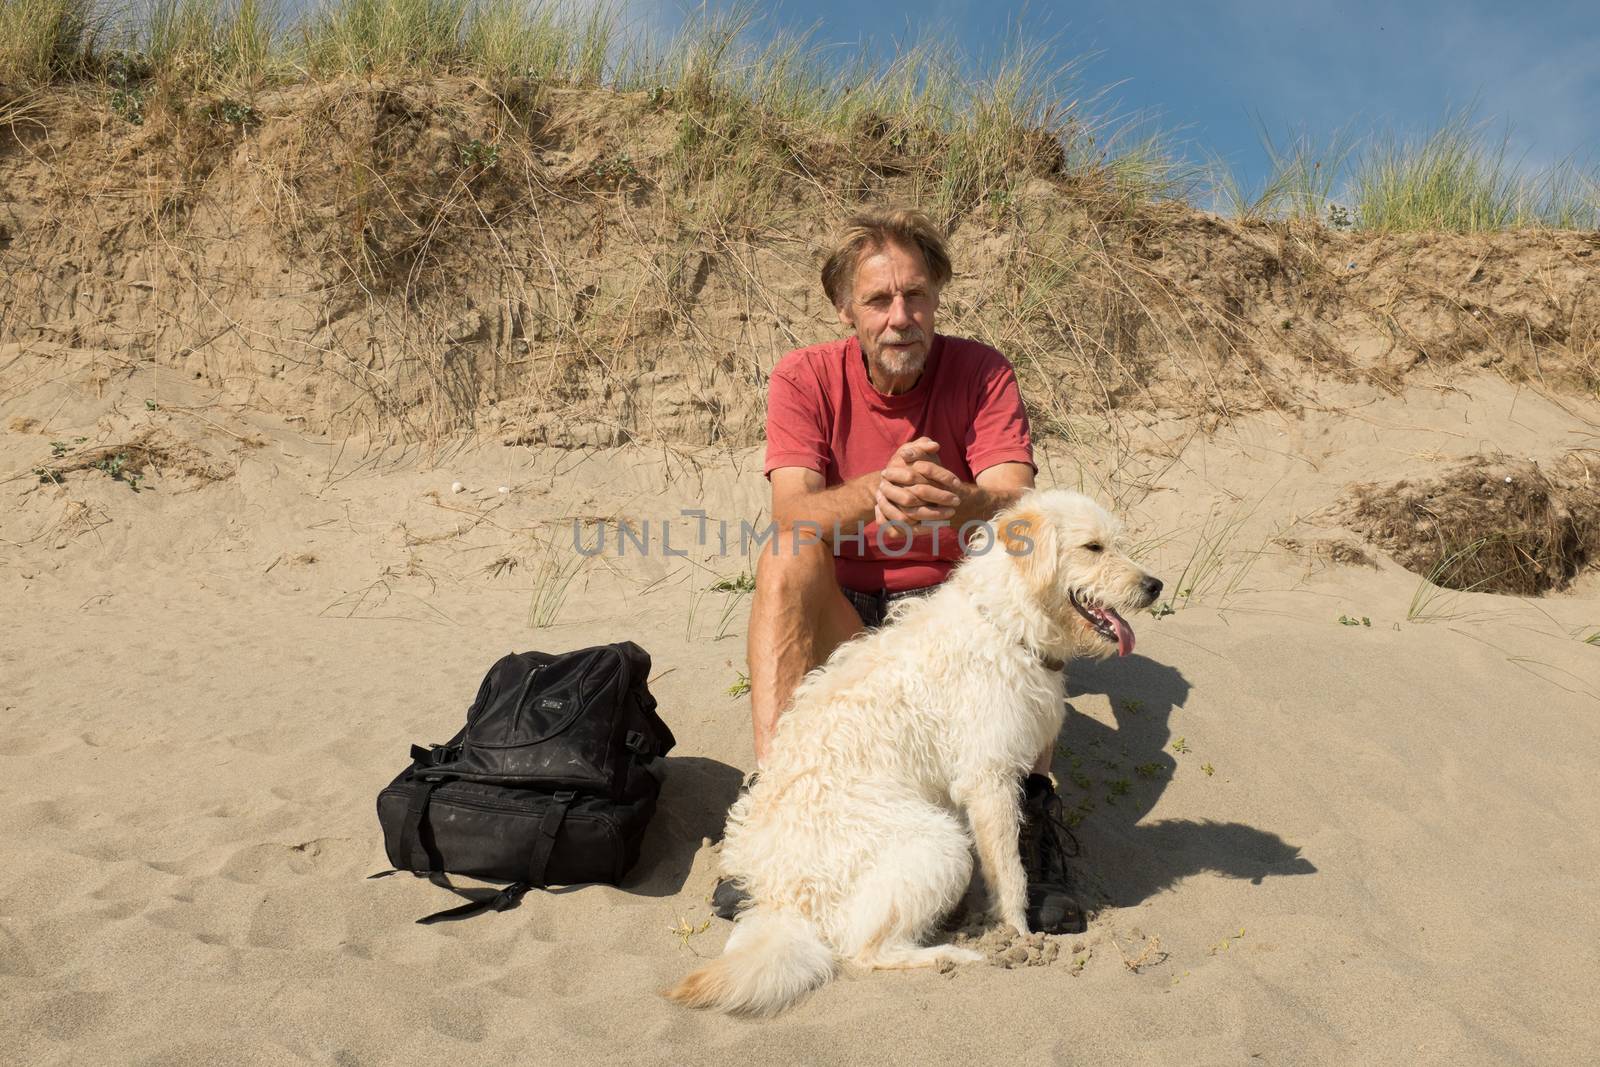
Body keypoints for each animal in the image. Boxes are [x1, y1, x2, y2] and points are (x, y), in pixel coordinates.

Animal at [662, 489, 1164, 1017]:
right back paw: (950, 954)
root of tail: (785, 901)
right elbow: (1009, 872)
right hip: (939, 845)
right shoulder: (988, 779)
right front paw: (1019, 936)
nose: (1155, 586)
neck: (1006, 622)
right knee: (863, 952)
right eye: (1092, 548)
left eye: (1118, 543)